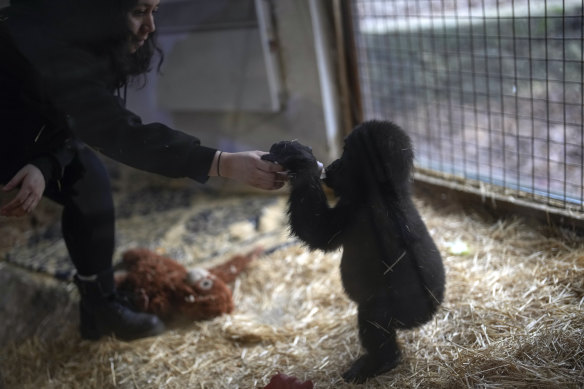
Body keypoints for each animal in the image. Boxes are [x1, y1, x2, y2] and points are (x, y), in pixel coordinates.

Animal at [262, 119, 444, 380]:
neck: (385, 189)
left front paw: (300, 161)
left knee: (373, 316)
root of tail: (429, 317)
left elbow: (316, 230)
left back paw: (381, 361)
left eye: (347, 155)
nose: (333, 164)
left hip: (406, 313)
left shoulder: (360, 212)